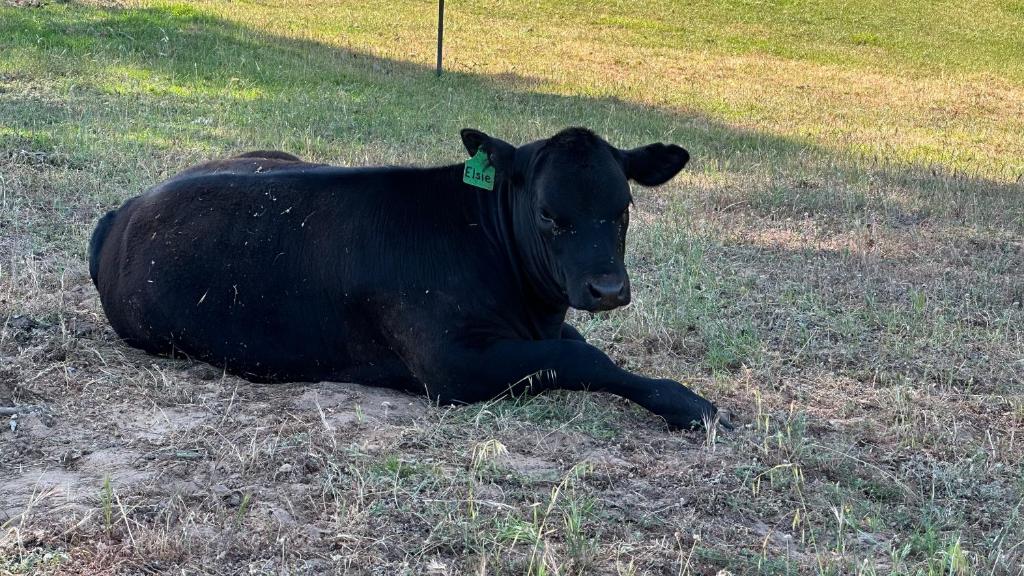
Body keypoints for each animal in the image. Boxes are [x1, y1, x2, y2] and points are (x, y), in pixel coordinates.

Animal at [88, 127, 729, 428]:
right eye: (549, 214)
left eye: (623, 207)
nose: (608, 289)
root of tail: (124, 208)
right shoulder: (452, 363)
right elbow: (582, 358)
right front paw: (688, 404)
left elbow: (587, 349)